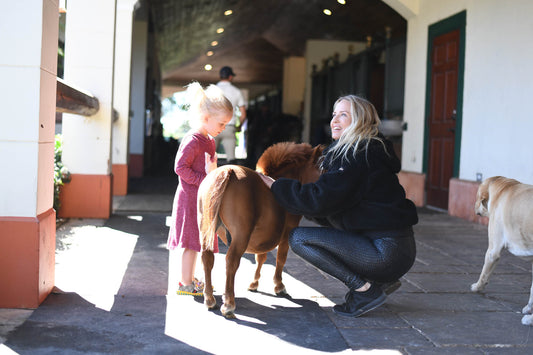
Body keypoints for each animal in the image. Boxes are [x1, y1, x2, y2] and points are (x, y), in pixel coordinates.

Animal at [197, 143, 322, 320]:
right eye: (321, 169)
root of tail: (227, 171)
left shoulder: (263, 237)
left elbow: (261, 257)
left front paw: (254, 283)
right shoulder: (287, 233)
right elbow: (280, 258)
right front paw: (279, 285)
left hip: (205, 229)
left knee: (207, 258)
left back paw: (209, 299)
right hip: (241, 234)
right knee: (231, 261)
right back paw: (228, 304)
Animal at [470, 177, 532, 326]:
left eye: (477, 195)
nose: (474, 205)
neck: (503, 187)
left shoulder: (493, 251)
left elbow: (484, 274)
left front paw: (477, 287)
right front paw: (529, 308)